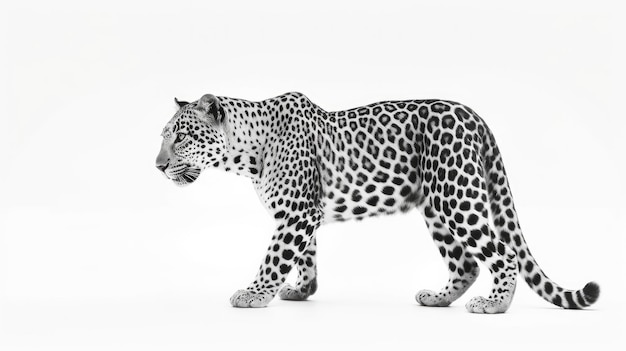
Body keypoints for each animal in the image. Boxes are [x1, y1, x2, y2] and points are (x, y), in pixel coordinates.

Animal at [154, 93, 596, 314]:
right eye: (164, 136)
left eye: (181, 137)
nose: (157, 166)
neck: (246, 152)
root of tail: (475, 115)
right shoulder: (301, 213)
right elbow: (305, 256)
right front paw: (301, 290)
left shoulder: (297, 212)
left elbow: (275, 256)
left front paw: (254, 293)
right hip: (436, 208)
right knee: (466, 264)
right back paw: (438, 298)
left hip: (457, 195)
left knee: (503, 254)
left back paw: (495, 303)